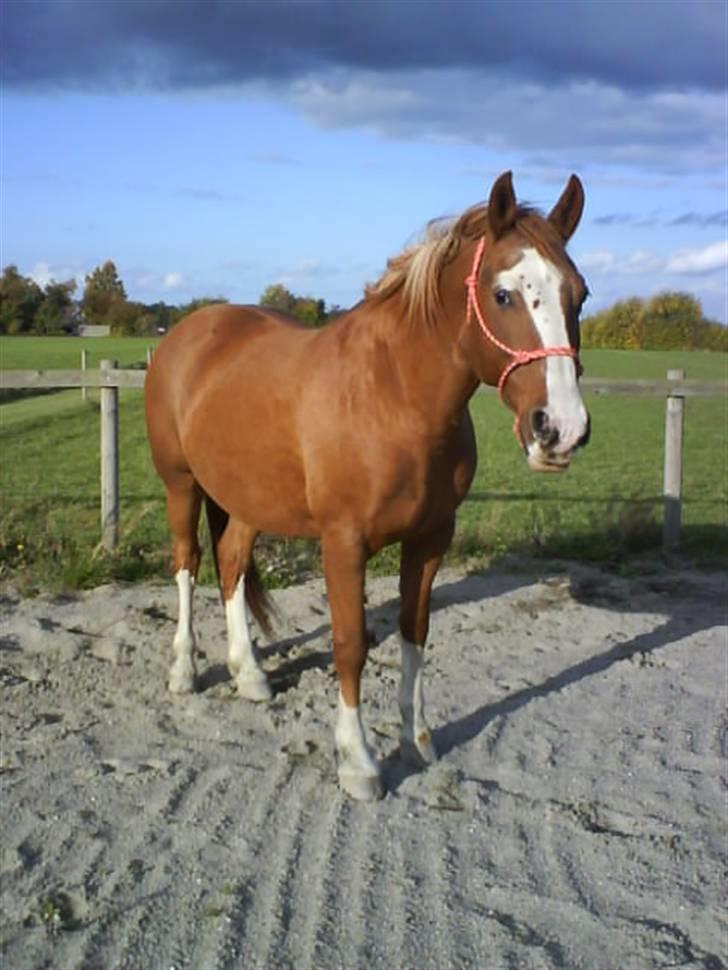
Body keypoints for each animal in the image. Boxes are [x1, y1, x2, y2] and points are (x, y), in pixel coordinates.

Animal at [145, 170, 588, 796]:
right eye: (504, 294)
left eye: (581, 294)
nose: (561, 429)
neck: (393, 394)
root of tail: (188, 332)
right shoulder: (344, 543)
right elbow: (350, 644)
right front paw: (358, 761)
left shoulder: (431, 538)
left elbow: (413, 631)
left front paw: (416, 740)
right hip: (180, 485)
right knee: (187, 565)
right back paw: (184, 670)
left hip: (249, 498)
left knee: (231, 564)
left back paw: (249, 674)